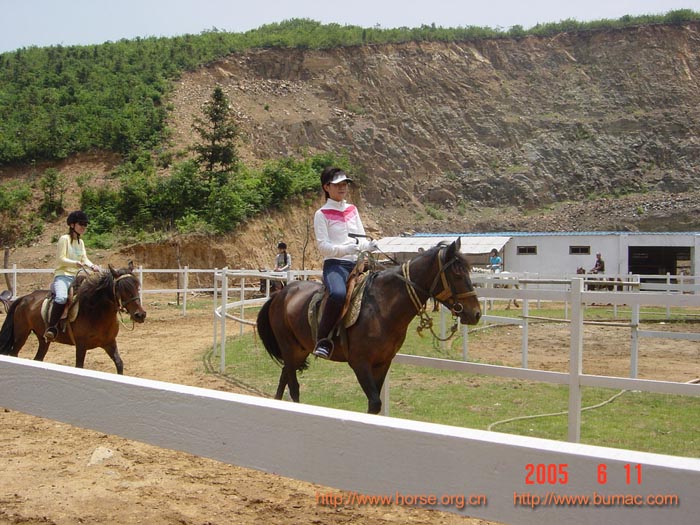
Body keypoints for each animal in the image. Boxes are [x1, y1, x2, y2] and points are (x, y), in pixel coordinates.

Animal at [0, 266, 146, 372]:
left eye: (137, 286)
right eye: (122, 288)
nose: (140, 315)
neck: (95, 312)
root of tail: (24, 298)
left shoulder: (109, 343)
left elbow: (119, 364)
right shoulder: (81, 346)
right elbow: (79, 366)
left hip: (43, 339)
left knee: (37, 359)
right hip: (21, 335)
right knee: (14, 354)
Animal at [256, 237, 482, 414]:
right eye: (458, 274)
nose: (476, 313)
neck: (382, 308)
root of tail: (281, 294)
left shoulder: (382, 363)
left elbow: (374, 406)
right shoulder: (360, 363)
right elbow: (374, 403)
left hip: (299, 350)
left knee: (284, 378)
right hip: (289, 348)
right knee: (293, 386)